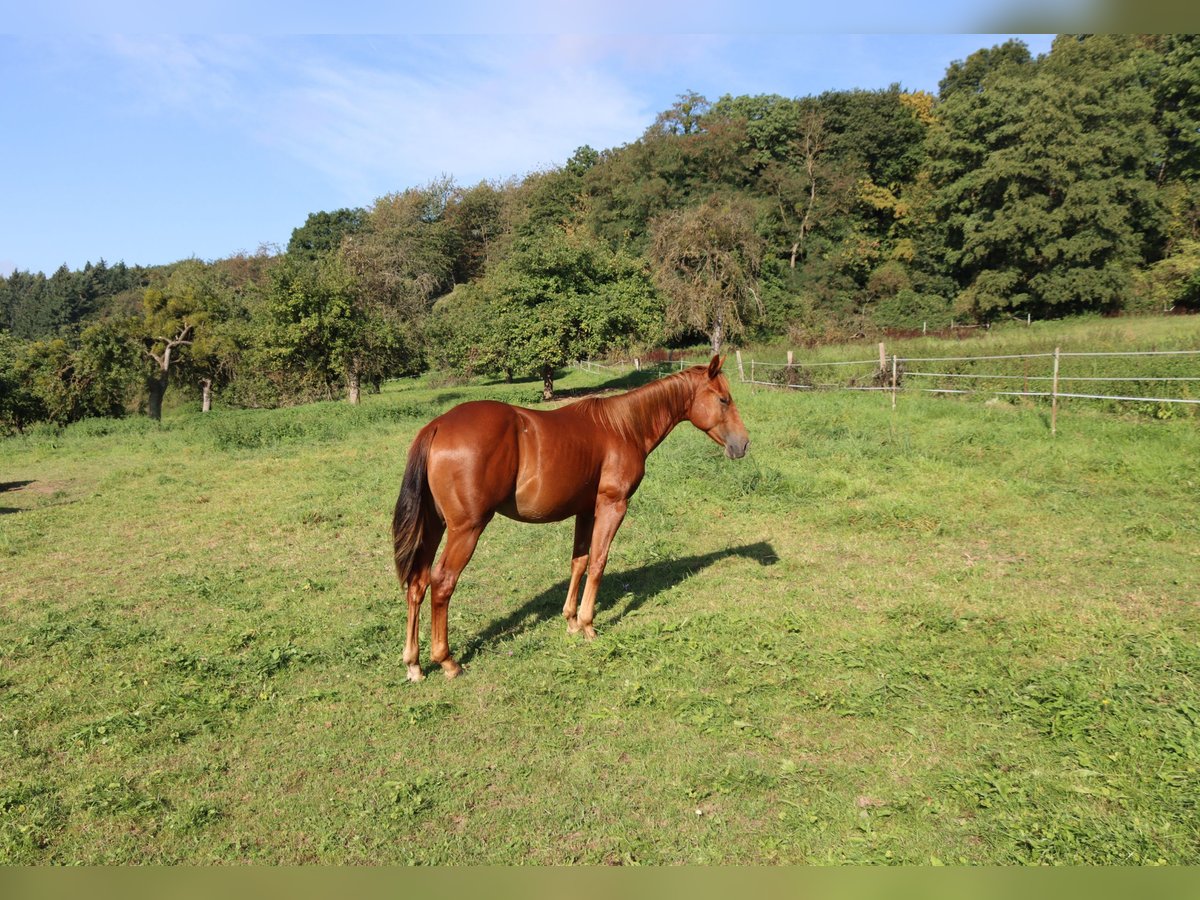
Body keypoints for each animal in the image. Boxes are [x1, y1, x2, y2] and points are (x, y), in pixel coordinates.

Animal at [391, 354, 750, 681]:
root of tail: (437, 425)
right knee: (442, 582)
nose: (743, 444)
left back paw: (414, 664)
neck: (623, 427)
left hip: (434, 527)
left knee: (417, 583)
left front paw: (572, 621)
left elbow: (579, 561)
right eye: (723, 399)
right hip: (466, 529)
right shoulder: (612, 506)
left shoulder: (585, 510)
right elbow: (599, 562)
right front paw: (589, 625)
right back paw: (447, 661)